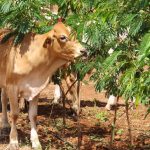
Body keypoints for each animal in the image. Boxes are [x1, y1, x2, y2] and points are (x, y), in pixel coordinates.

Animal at [0, 22, 86, 150]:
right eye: (63, 37)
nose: (84, 51)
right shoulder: (12, 87)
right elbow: (14, 114)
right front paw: (14, 141)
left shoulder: (35, 89)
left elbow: (33, 115)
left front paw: (36, 142)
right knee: (4, 101)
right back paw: (5, 125)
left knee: (3, 98)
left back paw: (5, 124)